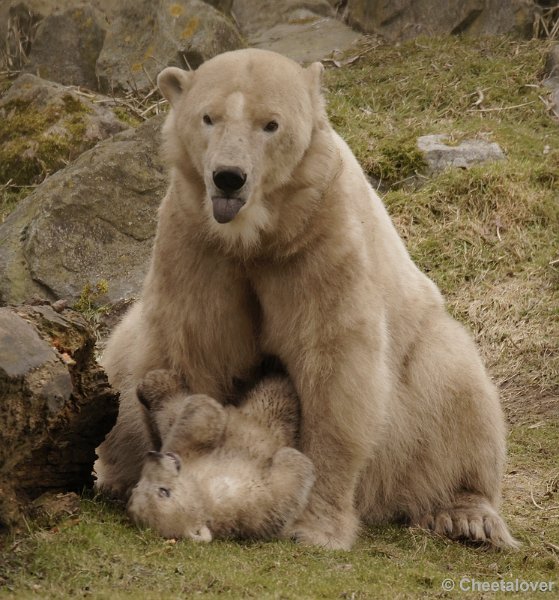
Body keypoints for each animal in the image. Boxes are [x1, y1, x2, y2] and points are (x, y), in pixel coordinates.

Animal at [95, 49, 516, 552]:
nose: (229, 178)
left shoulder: (323, 243)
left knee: (457, 384)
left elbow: (334, 369)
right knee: (120, 358)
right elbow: (194, 345)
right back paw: (111, 473)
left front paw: (314, 527)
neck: (260, 235)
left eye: (270, 124)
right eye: (208, 117)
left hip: (423, 371)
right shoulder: (196, 244)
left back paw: (468, 515)